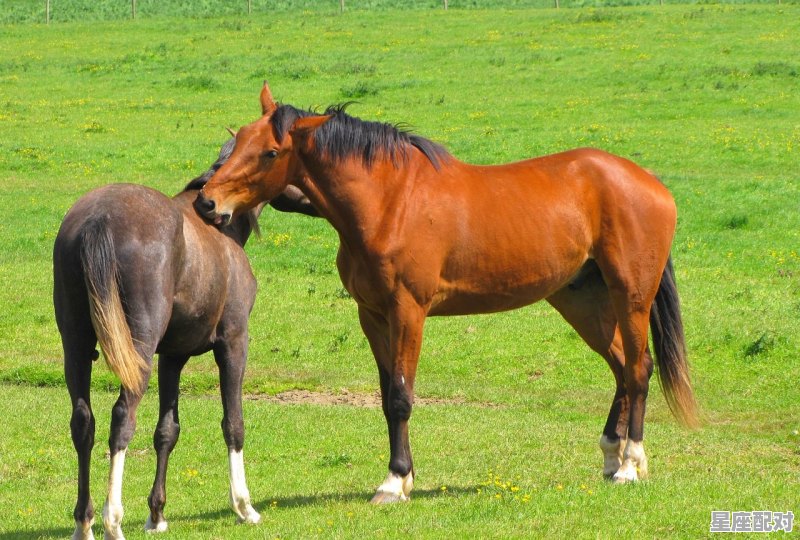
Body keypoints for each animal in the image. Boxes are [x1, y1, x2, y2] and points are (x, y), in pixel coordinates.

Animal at [53, 139, 318, 540]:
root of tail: (99, 217)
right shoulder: (234, 343)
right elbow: (233, 423)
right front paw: (244, 506)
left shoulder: (172, 357)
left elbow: (167, 431)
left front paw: (157, 514)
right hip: (138, 350)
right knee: (121, 418)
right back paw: (112, 519)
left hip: (78, 347)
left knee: (83, 423)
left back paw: (84, 522)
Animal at [194, 83, 692, 502]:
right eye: (237, 139)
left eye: (270, 152)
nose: (206, 202)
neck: (390, 201)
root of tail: (649, 182)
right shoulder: (373, 316)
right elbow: (385, 397)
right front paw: (404, 475)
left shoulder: (408, 312)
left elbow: (401, 396)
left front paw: (394, 482)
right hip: (582, 300)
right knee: (623, 368)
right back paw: (612, 456)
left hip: (631, 296)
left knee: (638, 370)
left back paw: (629, 465)